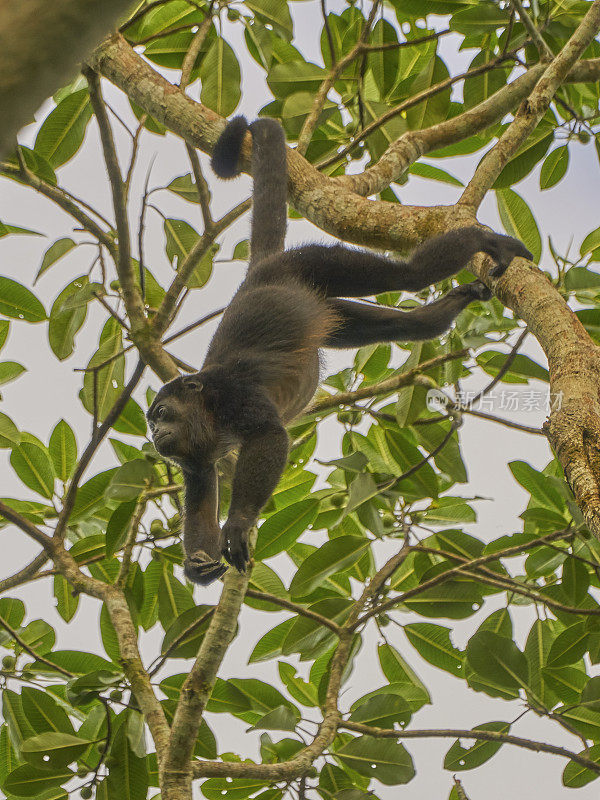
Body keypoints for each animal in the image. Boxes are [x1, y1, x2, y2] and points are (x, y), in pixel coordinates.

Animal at [148, 115, 532, 584]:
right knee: (403, 324)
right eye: (151, 422)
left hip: (311, 263)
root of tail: (261, 272)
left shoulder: (234, 393)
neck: (207, 410)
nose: (155, 435)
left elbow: (269, 435)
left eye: (161, 413)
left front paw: (237, 525)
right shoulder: (195, 458)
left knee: (407, 275)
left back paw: (486, 242)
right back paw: (446, 309)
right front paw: (198, 565)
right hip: (327, 308)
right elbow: (202, 498)